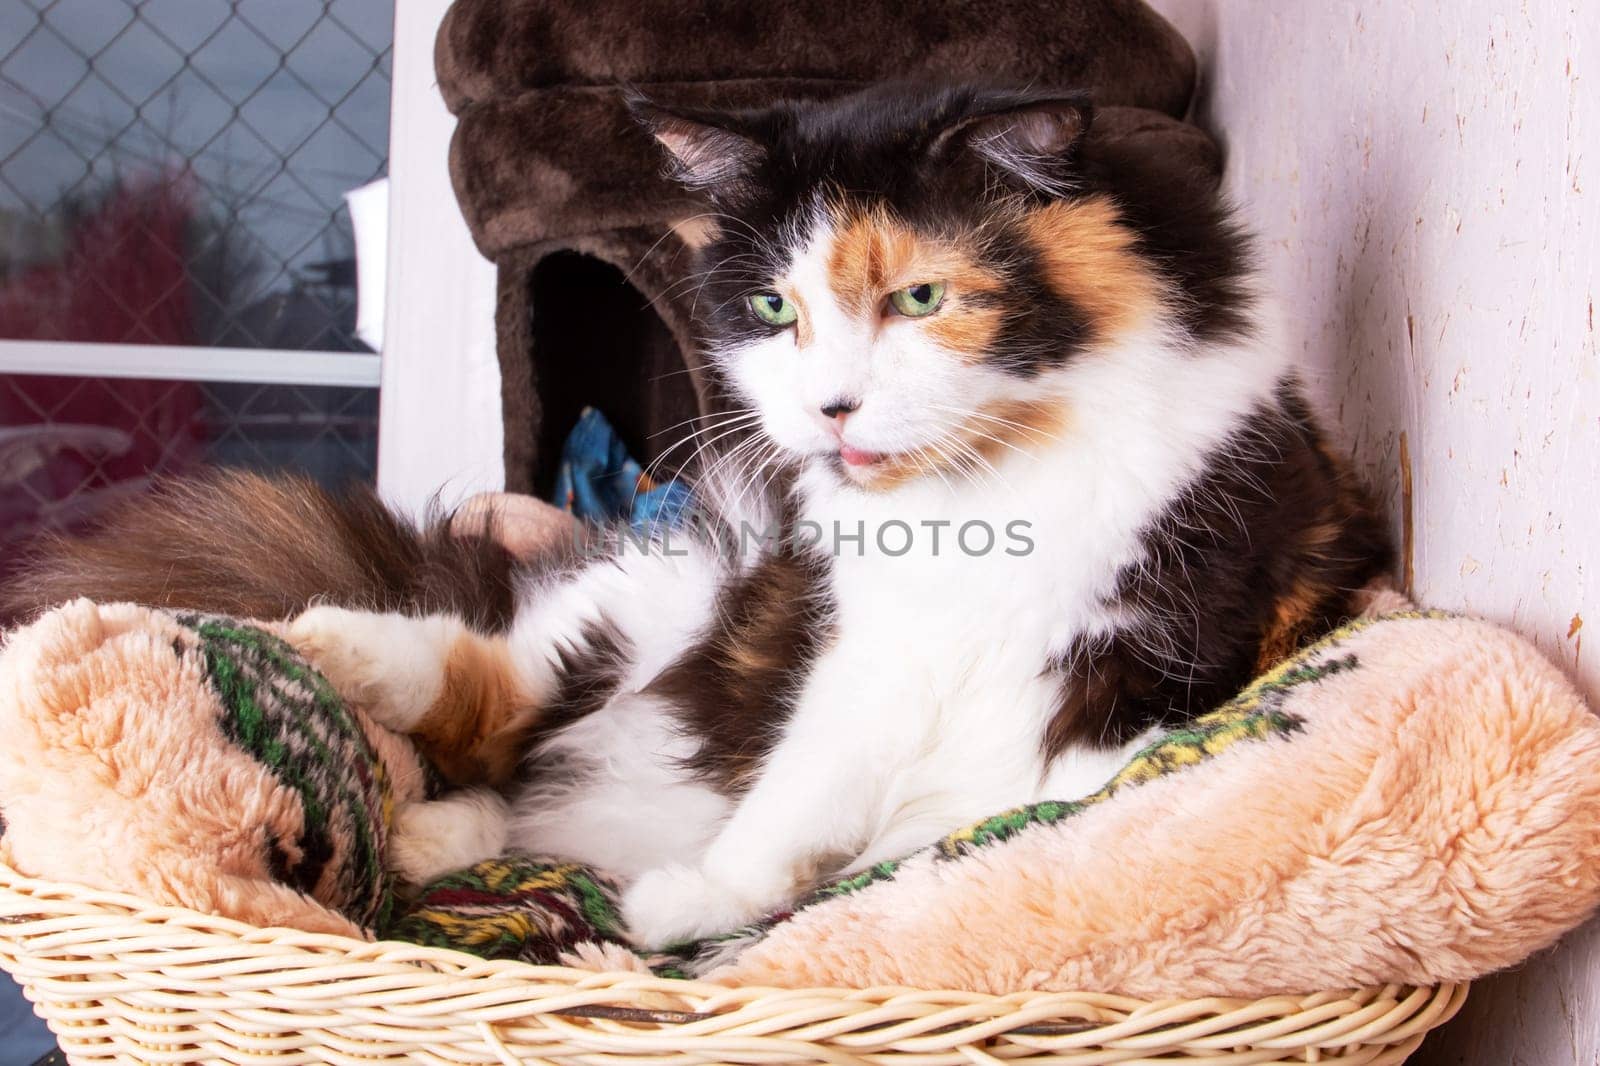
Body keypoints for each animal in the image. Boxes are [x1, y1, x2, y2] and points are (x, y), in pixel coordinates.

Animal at [9, 85, 1388, 947]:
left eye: (921, 297)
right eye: (776, 308)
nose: (829, 410)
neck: (991, 488)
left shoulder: (1104, 682)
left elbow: (917, 823)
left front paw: (700, 906)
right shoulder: (863, 647)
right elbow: (802, 785)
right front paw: (711, 892)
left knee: (521, 776)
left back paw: (436, 832)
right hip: (664, 591)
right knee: (495, 679)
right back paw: (340, 654)